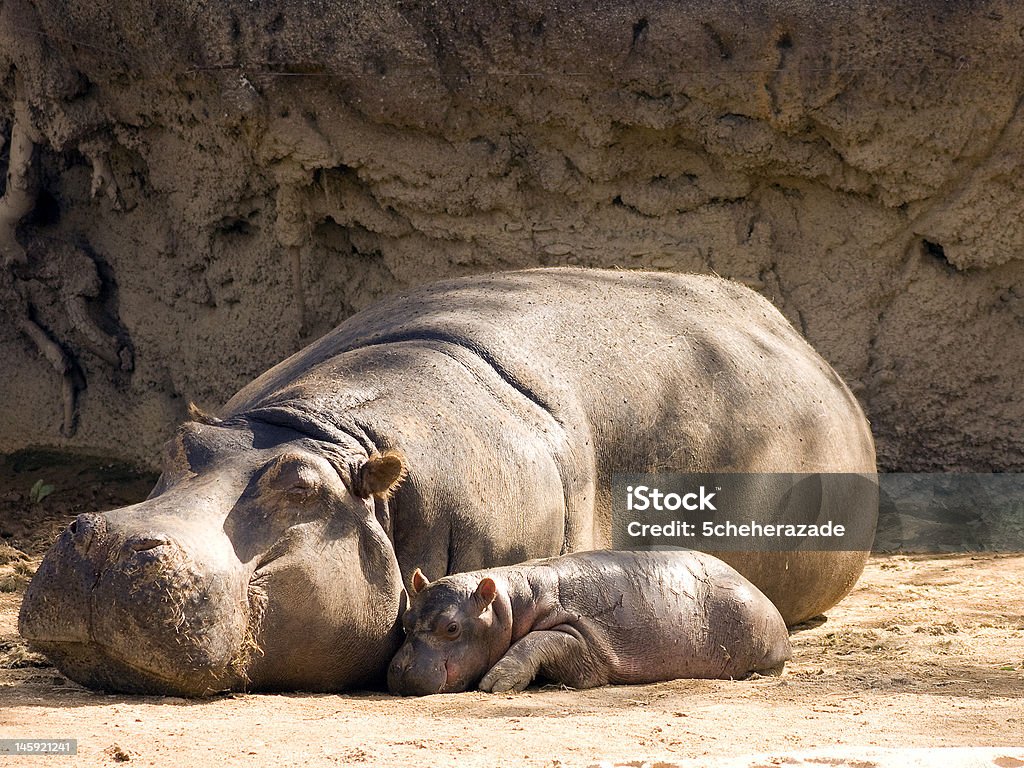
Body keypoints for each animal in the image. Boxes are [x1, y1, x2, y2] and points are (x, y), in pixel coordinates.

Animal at [385, 548, 790, 696]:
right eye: (405, 620)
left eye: (451, 627)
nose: (400, 671)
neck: (508, 606)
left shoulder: (581, 636)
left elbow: (539, 640)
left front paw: (495, 684)